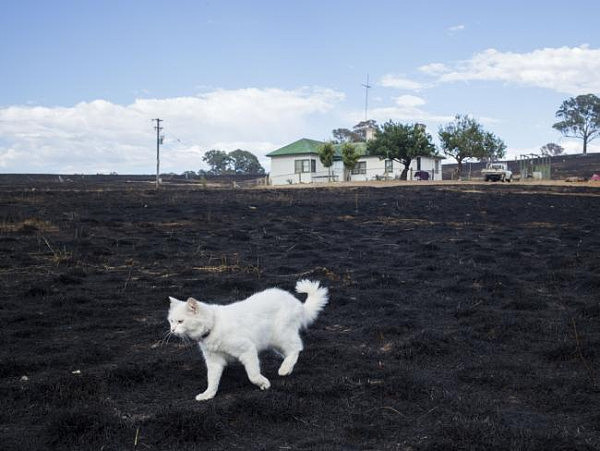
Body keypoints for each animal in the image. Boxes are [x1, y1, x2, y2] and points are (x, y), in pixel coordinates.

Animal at [168, 278, 328, 402]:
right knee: (290, 352)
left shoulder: (247, 350)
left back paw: (284, 369)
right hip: (275, 342)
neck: (214, 325)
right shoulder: (214, 361)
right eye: (171, 321)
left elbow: (253, 375)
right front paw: (208, 395)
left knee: (297, 347)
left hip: (280, 335)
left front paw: (264, 384)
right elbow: (212, 381)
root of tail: (296, 302)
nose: (172, 330)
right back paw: (288, 368)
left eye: (180, 321)